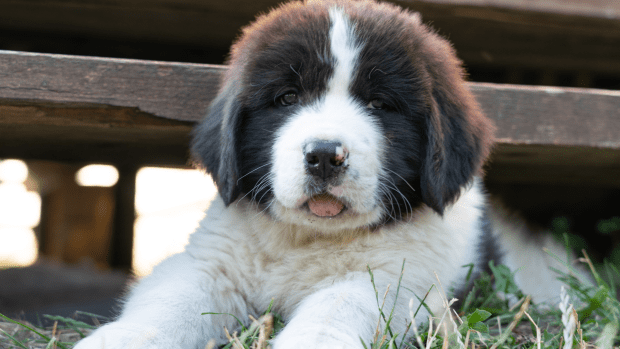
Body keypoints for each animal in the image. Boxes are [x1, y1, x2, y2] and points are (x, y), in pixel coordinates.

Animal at [76, 1, 572, 346]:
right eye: (287, 98)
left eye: (379, 104)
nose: (324, 156)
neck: (309, 239)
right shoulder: (211, 264)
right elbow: (169, 303)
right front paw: (119, 340)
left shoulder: (394, 282)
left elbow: (336, 308)